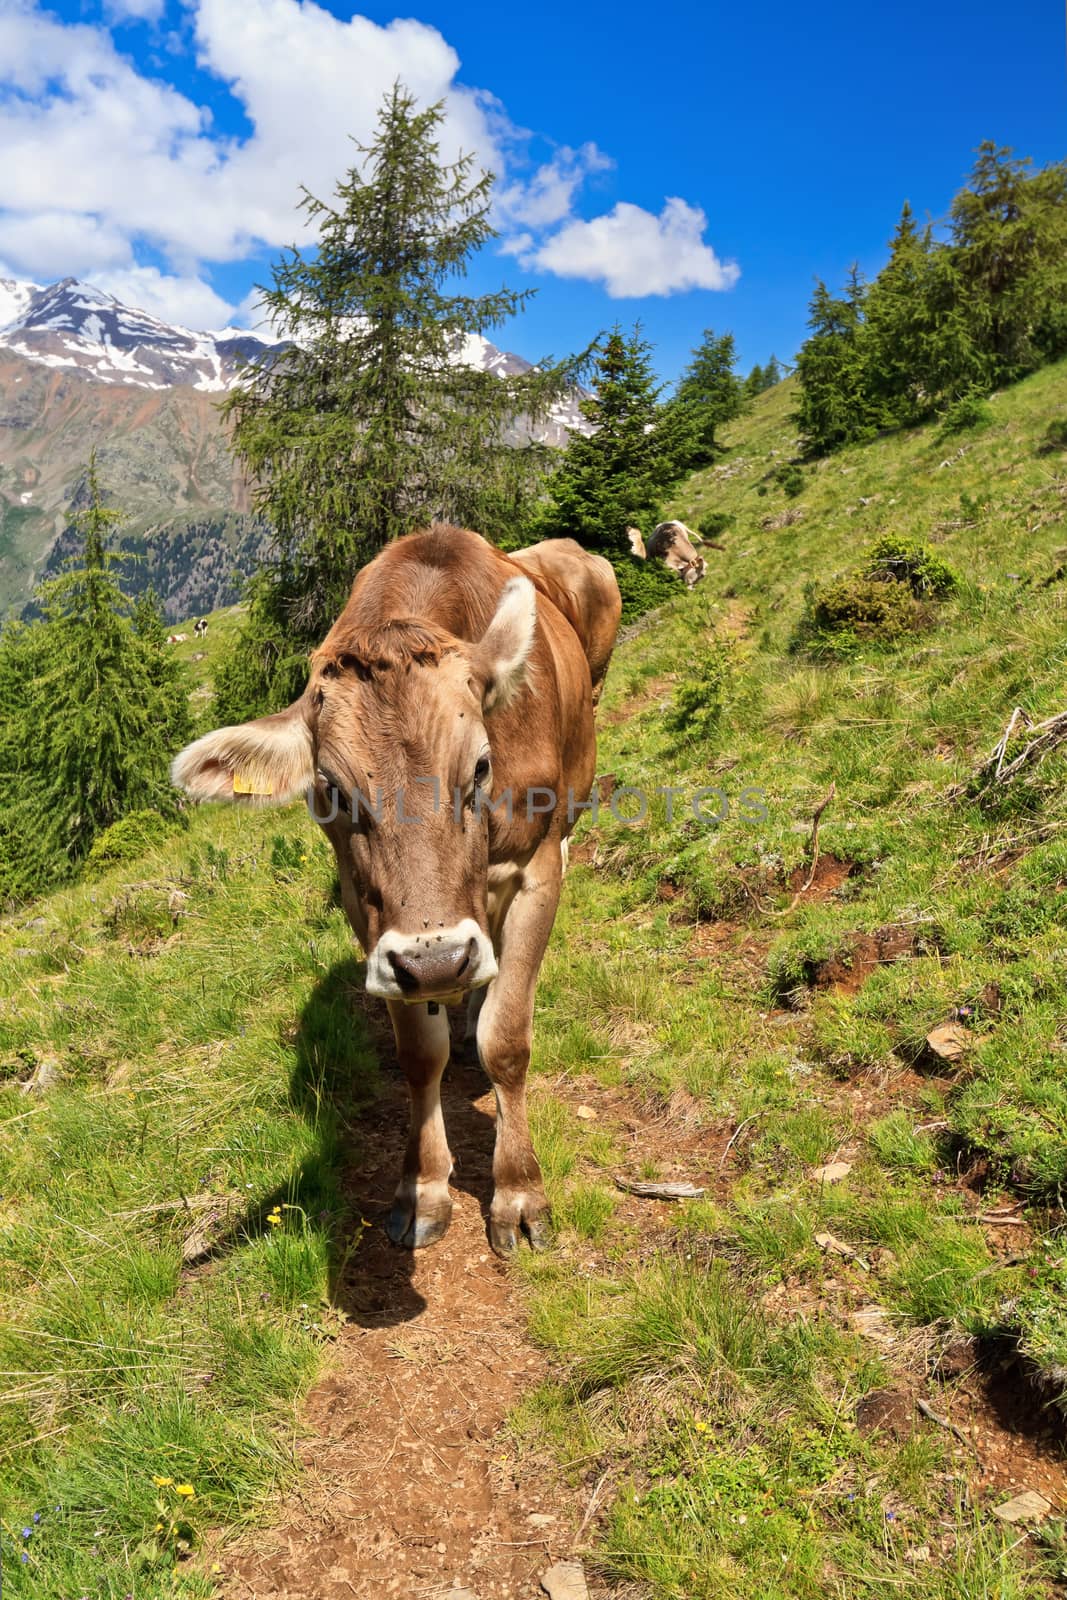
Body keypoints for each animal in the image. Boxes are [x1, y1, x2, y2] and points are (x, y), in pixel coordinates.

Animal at [173, 531, 627, 1254]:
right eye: (331, 790)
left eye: (480, 765)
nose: (437, 961)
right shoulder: (369, 914)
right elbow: (419, 1054)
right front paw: (422, 1188)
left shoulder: (534, 873)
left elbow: (508, 1040)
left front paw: (518, 1193)